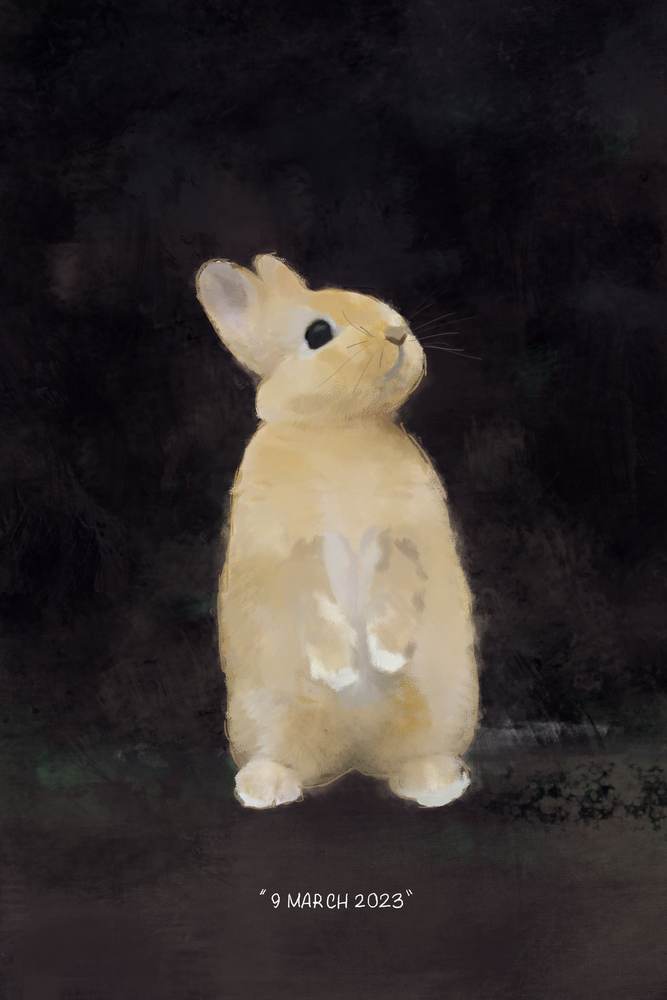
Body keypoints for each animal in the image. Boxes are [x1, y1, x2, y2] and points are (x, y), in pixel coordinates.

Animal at [196, 253, 479, 809]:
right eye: (318, 333)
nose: (398, 333)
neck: (338, 429)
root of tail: (355, 757)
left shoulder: (404, 534)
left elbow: (397, 589)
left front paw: (385, 656)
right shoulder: (289, 550)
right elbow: (314, 604)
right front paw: (342, 669)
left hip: (440, 707)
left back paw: (435, 783)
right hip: (269, 714)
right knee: (289, 756)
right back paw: (264, 788)